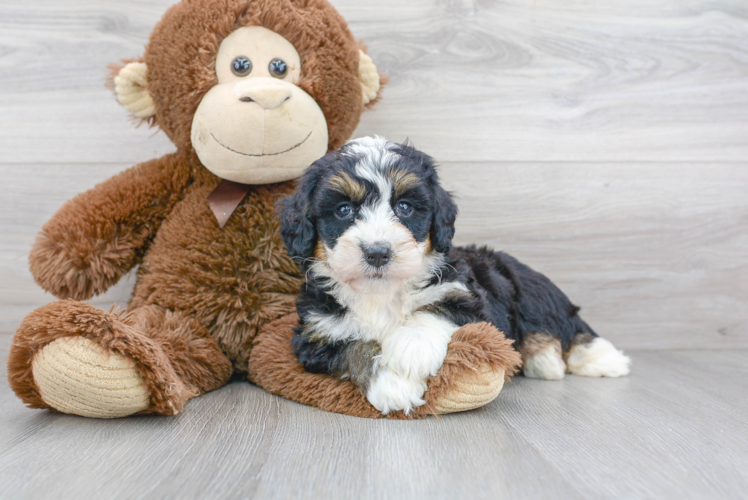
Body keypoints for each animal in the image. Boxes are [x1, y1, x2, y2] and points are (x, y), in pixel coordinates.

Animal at [278, 136, 628, 414]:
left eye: (404, 208)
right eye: (343, 211)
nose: (377, 252)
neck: (381, 292)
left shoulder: (468, 298)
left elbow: (436, 308)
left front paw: (410, 349)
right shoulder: (316, 336)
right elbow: (353, 348)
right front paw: (392, 385)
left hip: (525, 287)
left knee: (567, 324)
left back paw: (602, 358)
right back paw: (543, 360)